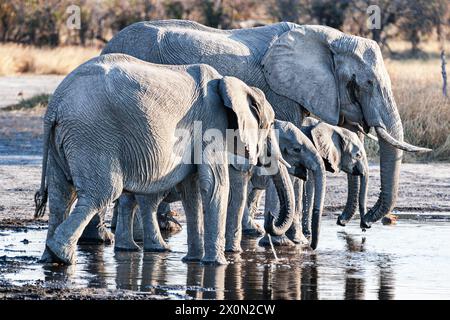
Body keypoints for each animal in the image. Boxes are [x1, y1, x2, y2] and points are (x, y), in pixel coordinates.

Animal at [35, 53, 296, 264]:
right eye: (269, 125)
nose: (269, 219)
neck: (229, 84)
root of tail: (55, 105)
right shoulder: (211, 124)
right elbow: (214, 185)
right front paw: (218, 264)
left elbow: (193, 190)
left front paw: (194, 260)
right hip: (92, 135)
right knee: (101, 193)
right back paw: (62, 256)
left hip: (66, 139)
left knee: (61, 196)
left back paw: (50, 258)